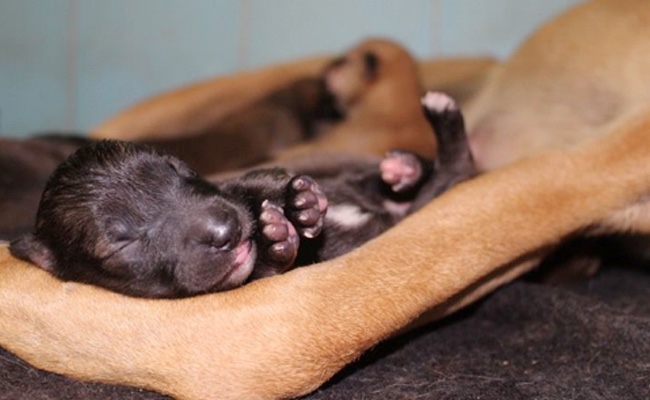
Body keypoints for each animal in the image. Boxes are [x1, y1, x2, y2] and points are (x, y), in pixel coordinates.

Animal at [10, 92, 470, 298]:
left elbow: (256, 181)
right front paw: (281, 236)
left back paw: (403, 168)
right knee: (454, 173)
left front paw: (301, 204)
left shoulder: (237, 181)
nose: (224, 230)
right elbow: (268, 269)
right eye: (122, 243)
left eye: (178, 169)